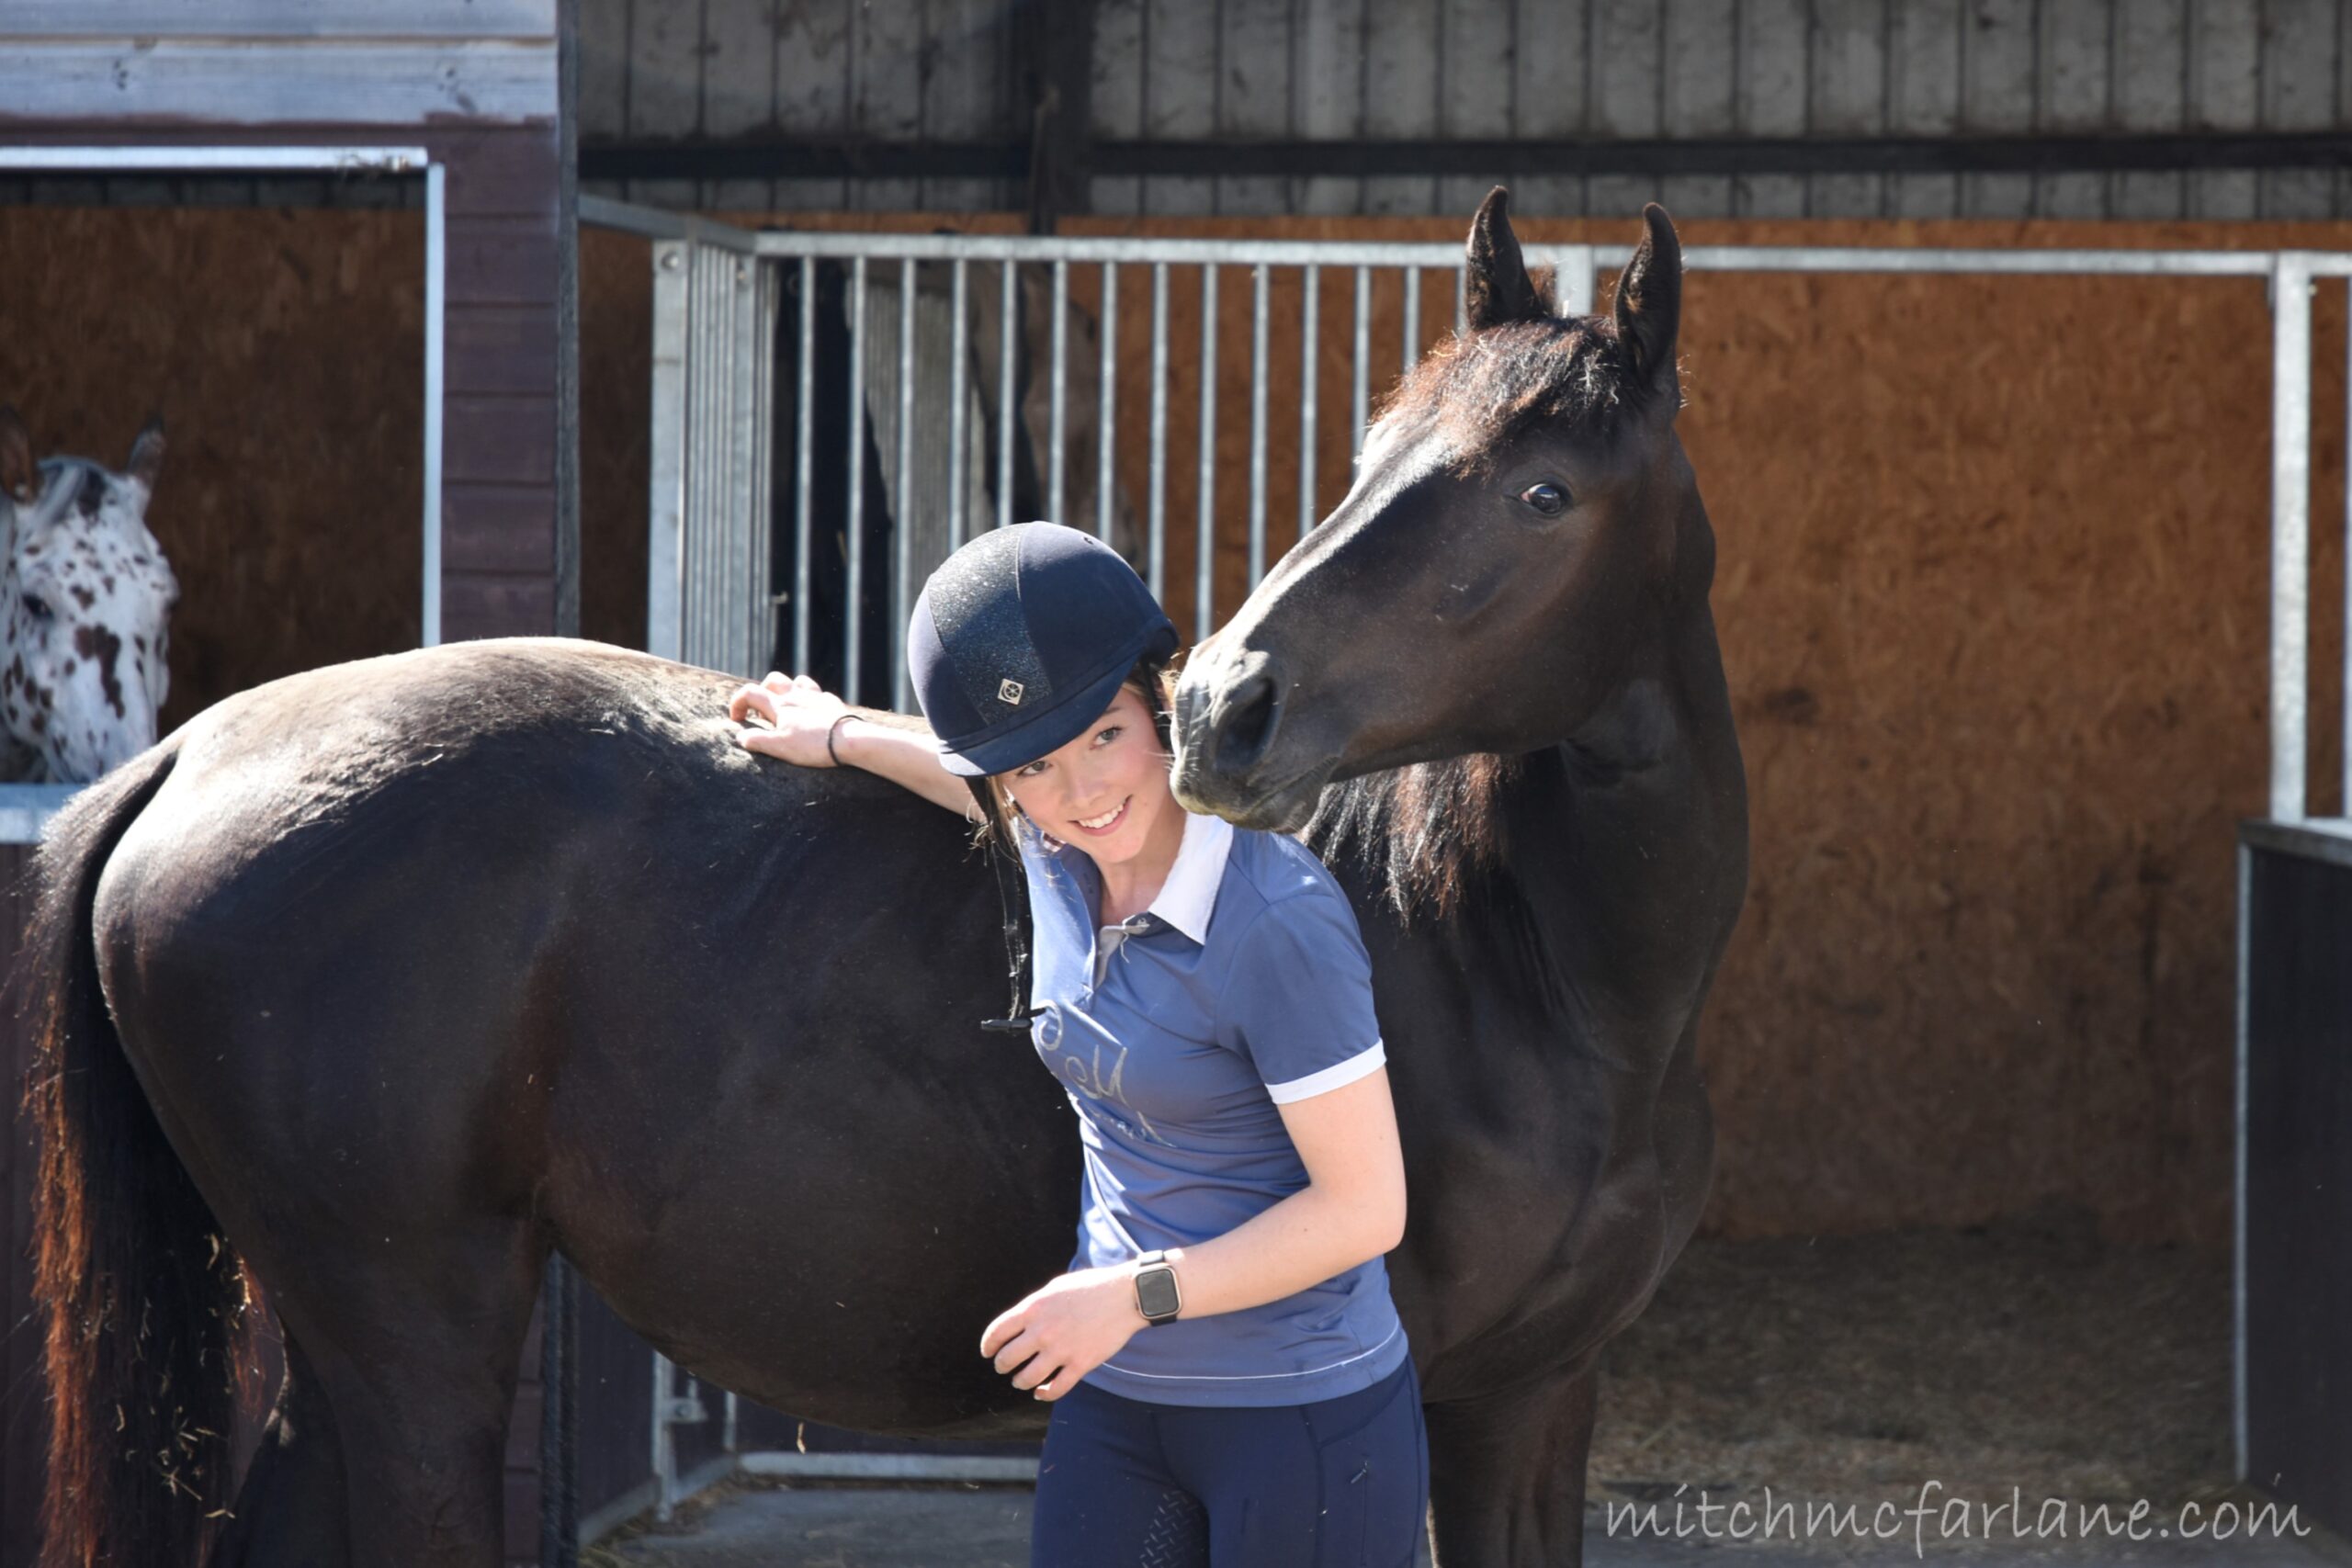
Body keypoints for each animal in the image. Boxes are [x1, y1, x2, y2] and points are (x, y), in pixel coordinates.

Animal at [22, 196, 1749, 1568]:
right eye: (1373, 457)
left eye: (1542, 492)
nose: (1223, 705)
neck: (1516, 973)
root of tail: (186, 760)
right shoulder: (1414, 1398)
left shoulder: (1534, 1398)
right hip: (415, 1347)